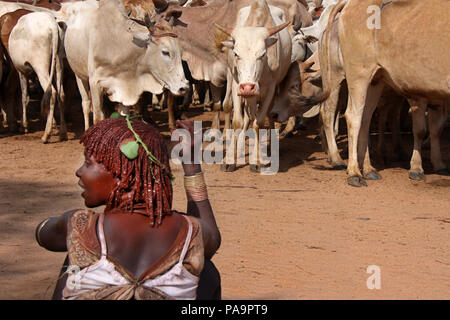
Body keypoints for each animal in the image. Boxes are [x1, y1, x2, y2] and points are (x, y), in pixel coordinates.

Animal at [62, 0, 188, 130]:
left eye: (180, 52)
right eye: (165, 52)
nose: (184, 87)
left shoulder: (125, 88)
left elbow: (123, 116)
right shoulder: (95, 84)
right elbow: (97, 118)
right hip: (79, 76)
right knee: (86, 104)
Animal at [214, 0, 292, 172]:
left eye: (262, 54)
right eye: (236, 54)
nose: (248, 87)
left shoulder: (270, 89)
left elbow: (259, 122)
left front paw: (257, 160)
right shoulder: (237, 86)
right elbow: (237, 121)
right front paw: (230, 158)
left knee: (267, 115)